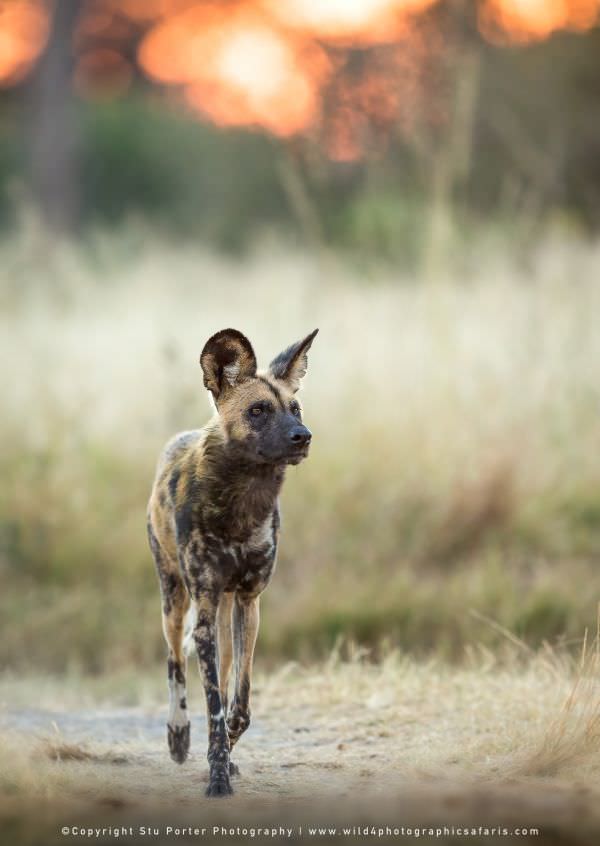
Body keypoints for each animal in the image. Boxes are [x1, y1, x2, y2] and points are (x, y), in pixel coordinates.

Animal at [147, 328, 316, 800]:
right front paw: (216, 774)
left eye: (295, 408)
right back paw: (178, 736)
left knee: (221, 679)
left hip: (221, 616)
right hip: (175, 601)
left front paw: (225, 757)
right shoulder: (204, 611)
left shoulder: (247, 602)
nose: (303, 436)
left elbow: (236, 708)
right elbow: (214, 708)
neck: (243, 500)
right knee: (174, 661)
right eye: (258, 411)